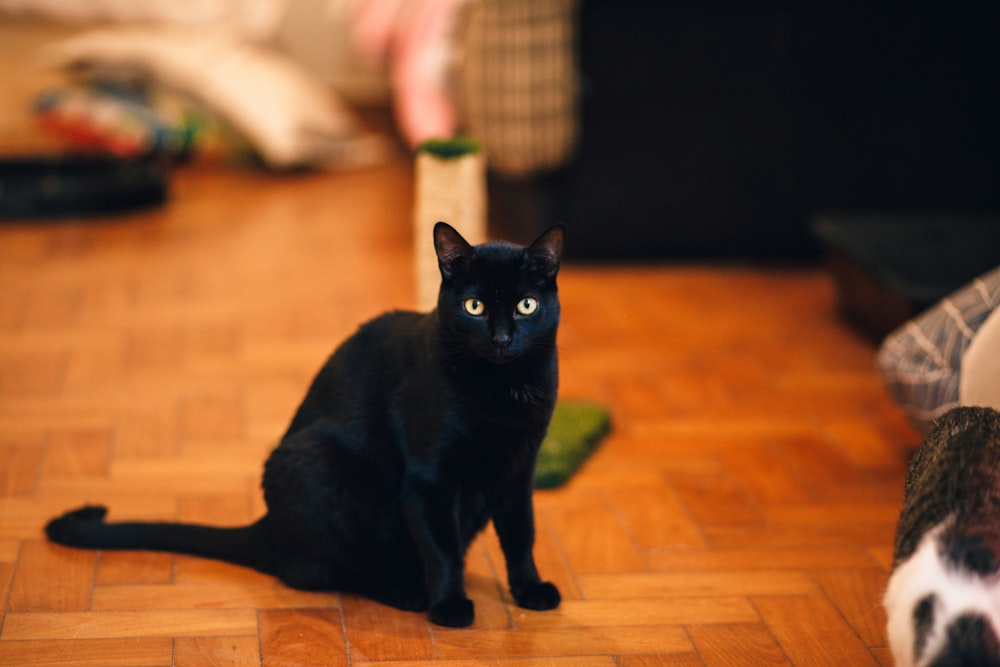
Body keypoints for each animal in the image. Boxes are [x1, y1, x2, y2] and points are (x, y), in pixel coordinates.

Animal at [47, 222, 568, 628]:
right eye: (474, 307)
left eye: (525, 305)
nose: (502, 339)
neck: (503, 389)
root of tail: (268, 526)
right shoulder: (429, 479)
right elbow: (440, 549)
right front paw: (449, 606)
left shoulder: (518, 469)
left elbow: (521, 534)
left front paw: (529, 591)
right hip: (318, 461)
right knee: (320, 569)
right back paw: (407, 591)